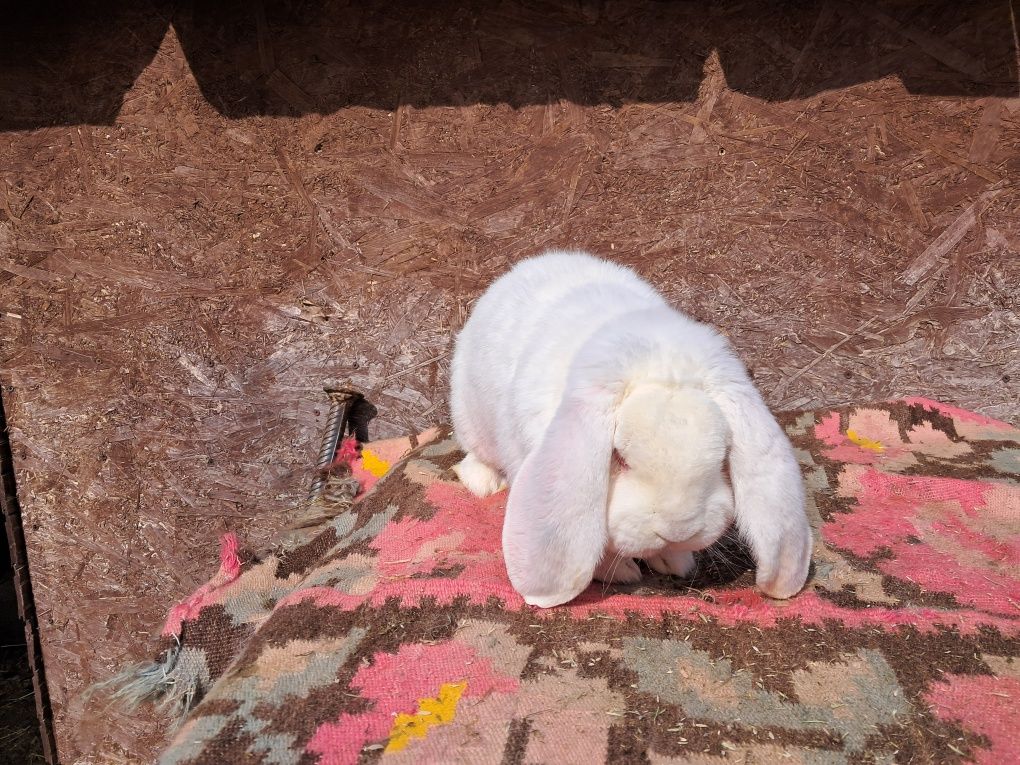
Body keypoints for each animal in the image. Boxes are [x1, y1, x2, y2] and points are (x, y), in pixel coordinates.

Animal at [450, 251, 807, 612]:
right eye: (619, 458)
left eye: (722, 458)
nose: (678, 530)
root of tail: (533, 263)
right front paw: (623, 573)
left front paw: (676, 562)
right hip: (470, 417)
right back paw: (485, 482)